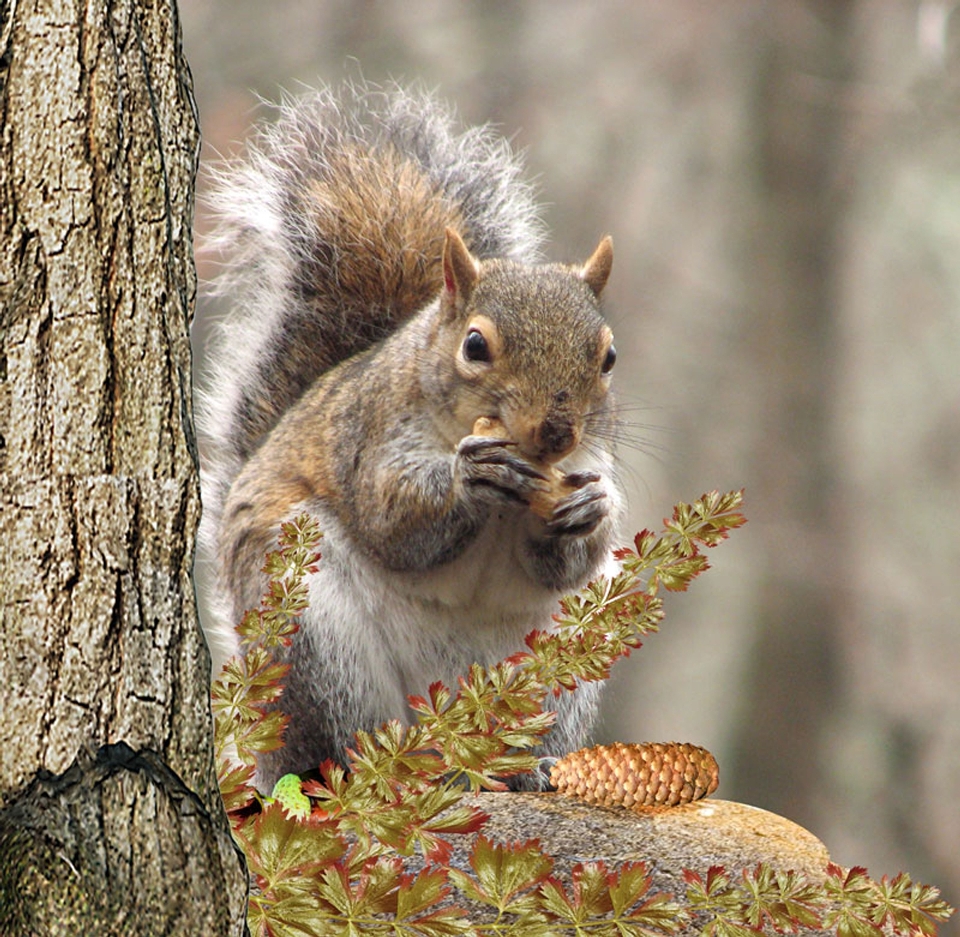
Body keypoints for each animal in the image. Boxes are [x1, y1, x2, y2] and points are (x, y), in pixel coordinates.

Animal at [199, 82, 628, 788]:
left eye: (609, 357)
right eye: (476, 346)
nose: (556, 432)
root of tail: (444, 740)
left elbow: (564, 562)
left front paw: (591, 508)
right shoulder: (368, 436)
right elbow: (391, 521)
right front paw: (470, 478)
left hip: (565, 656)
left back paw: (529, 769)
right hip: (311, 632)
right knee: (336, 744)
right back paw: (369, 766)